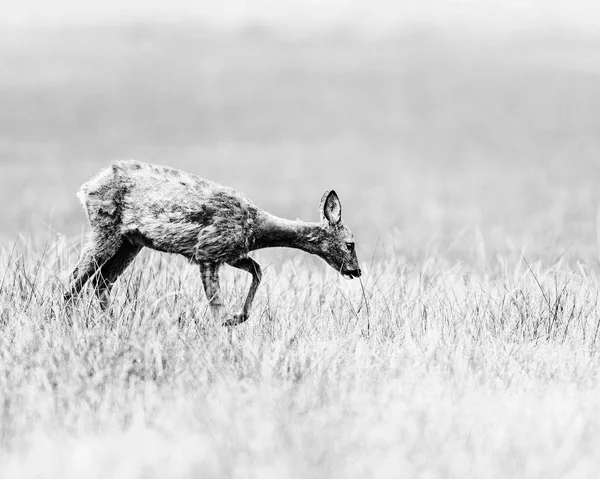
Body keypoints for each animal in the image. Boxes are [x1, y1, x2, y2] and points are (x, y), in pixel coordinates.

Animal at [64, 160, 360, 326]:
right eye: (350, 244)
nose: (357, 271)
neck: (255, 227)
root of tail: (86, 187)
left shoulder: (232, 253)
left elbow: (258, 271)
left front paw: (237, 318)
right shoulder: (208, 250)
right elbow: (216, 304)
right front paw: (225, 325)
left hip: (131, 242)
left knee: (101, 281)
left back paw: (110, 323)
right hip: (106, 228)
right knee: (74, 279)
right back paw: (64, 319)